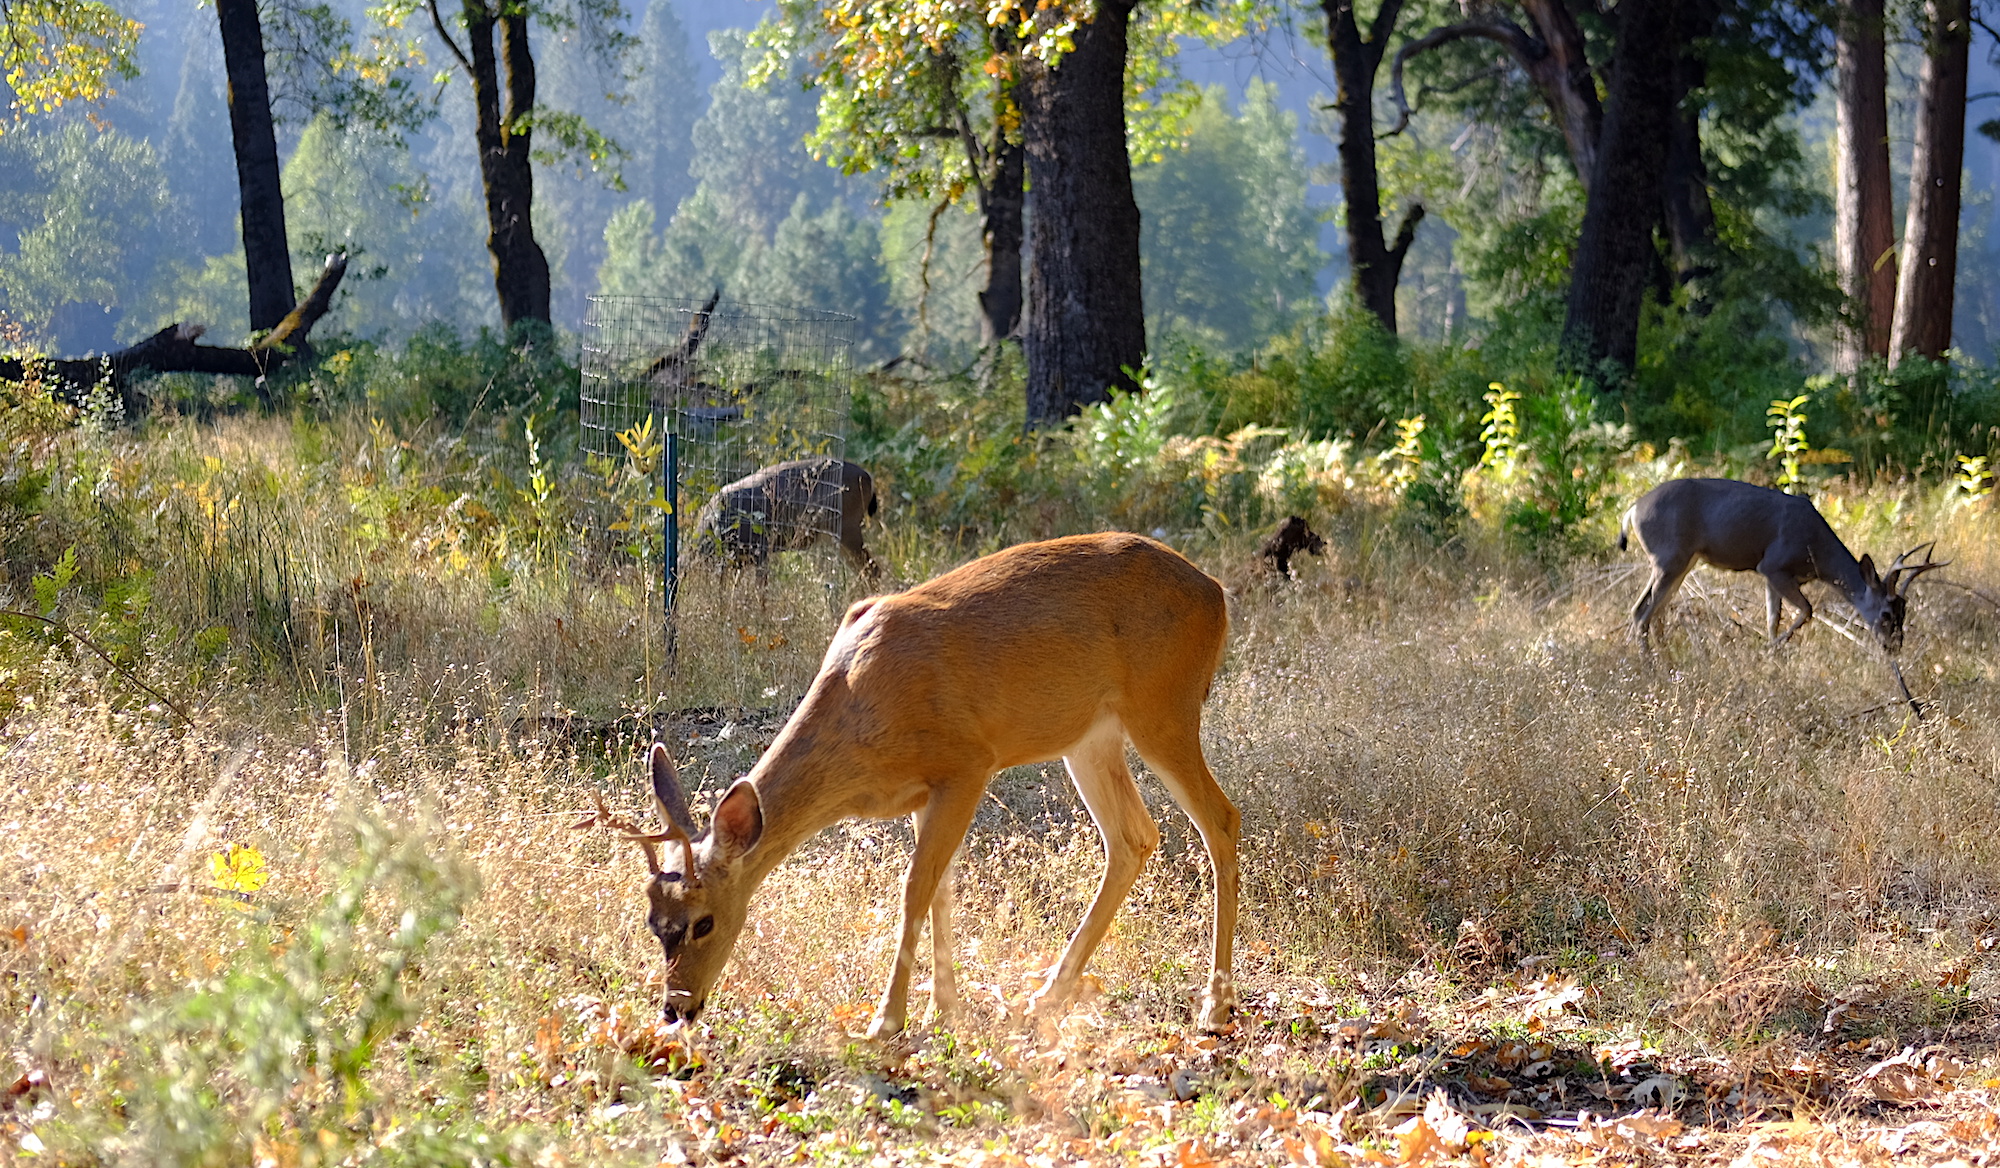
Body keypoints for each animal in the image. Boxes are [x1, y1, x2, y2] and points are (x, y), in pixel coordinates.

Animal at [576, 532, 1232, 1032]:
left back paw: (1215, 1006)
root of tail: (1217, 594)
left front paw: (886, 1020)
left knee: (1221, 819)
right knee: (1134, 836)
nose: (676, 1010)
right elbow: (940, 889)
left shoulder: (967, 763)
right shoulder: (924, 791)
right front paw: (947, 1009)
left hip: (1164, 706)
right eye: (652, 924)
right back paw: (1049, 992)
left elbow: (914, 889)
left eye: (704, 922)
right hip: (1091, 736)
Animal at [1624, 476, 1936, 656]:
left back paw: (1666, 661)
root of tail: (1633, 510)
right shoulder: (1774, 565)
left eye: (1904, 612)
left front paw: (1771, 654)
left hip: (1682, 561)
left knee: (1656, 611)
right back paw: (1651, 667)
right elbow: (1807, 610)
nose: (1894, 646)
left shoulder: (1774, 576)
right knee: (1641, 611)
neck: (1816, 553)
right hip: (1669, 557)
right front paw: (1770, 650)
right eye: (1885, 613)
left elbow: (1772, 619)